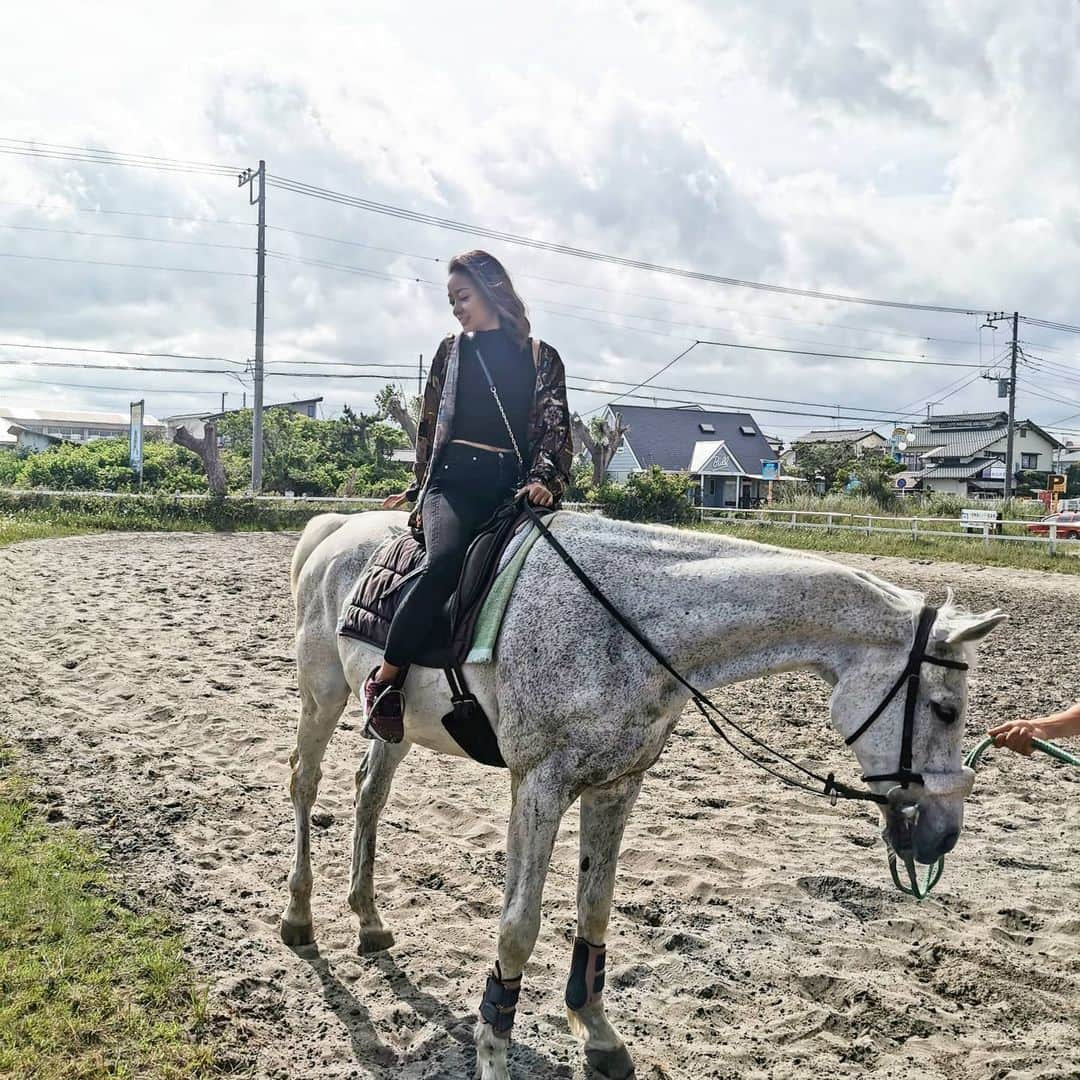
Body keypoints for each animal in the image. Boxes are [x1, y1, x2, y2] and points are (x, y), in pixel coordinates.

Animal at [282, 507, 1006, 1080]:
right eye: (944, 709)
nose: (943, 833)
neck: (628, 625)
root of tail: (334, 528)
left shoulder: (616, 786)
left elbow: (595, 912)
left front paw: (599, 1038)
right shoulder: (539, 788)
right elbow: (517, 930)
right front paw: (494, 1054)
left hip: (394, 724)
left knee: (369, 793)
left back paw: (369, 921)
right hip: (322, 695)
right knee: (304, 783)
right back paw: (299, 918)